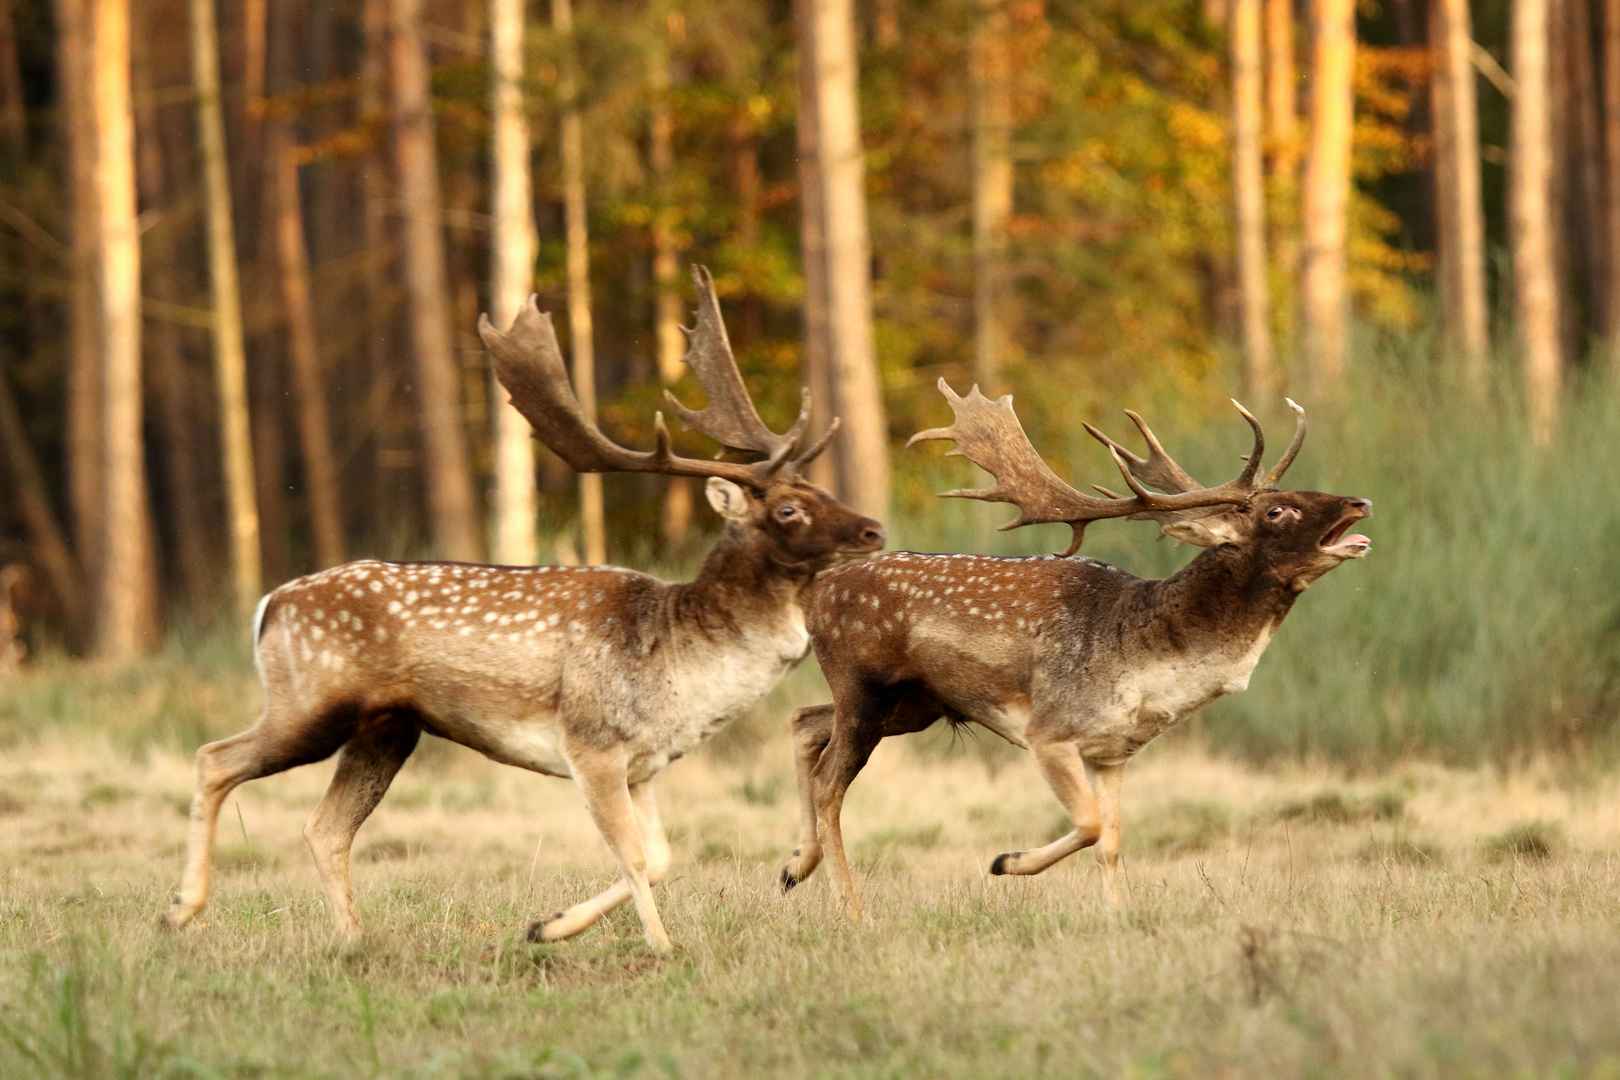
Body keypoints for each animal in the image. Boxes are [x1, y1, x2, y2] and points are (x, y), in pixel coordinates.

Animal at [164, 265, 887, 952]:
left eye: (819, 487)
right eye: (788, 509)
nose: (874, 529)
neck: (681, 666)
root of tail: (269, 604)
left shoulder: (645, 763)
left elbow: (659, 857)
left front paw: (548, 926)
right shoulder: (590, 742)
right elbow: (634, 856)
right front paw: (661, 946)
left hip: (388, 729)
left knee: (323, 828)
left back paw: (353, 939)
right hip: (311, 701)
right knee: (214, 758)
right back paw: (182, 909)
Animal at [780, 383, 1367, 919]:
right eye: (1277, 510)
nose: (1360, 501)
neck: (1146, 668)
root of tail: (816, 591)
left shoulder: (1113, 752)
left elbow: (1110, 841)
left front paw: (1118, 918)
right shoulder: (1051, 731)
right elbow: (1089, 824)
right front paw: (1006, 862)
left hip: (912, 705)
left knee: (805, 720)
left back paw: (792, 867)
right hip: (864, 685)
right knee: (831, 783)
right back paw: (851, 910)